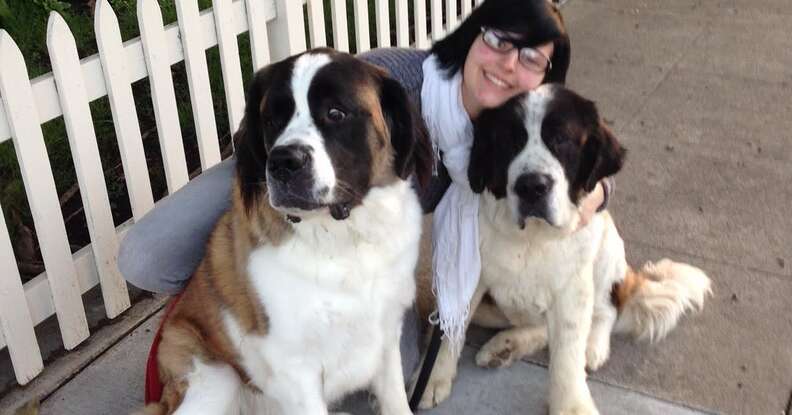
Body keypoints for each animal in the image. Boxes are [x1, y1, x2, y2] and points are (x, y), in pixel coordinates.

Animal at [138, 47, 434, 414]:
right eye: (272, 121)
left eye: (336, 113)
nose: (282, 162)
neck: (345, 240)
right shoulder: (296, 369)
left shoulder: (387, 336)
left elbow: (395, 399)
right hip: (213, 378)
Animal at [420, 84, 712, 415]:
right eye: (509, 141)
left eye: (561, 139)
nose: (532, 186)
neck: (532, 238)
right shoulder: (470, 277)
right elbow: (449, 328)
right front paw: (432, 377)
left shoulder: (573, 289)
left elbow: (567, 356)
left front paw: (572, 406)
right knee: (539, 327)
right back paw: (505, 346)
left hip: (607, 242)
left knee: (605, 310)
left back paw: (591, 346)